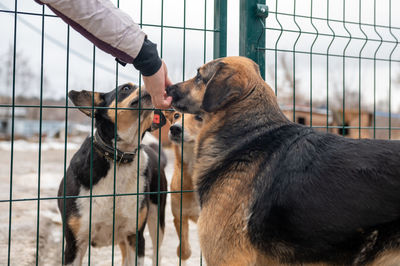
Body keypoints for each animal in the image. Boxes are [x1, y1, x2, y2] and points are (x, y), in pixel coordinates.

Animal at [58, 83, 167, 266]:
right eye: (126, 88)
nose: (151, 85)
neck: (119, 158)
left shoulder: (135, 236)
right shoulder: (74, 243)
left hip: (157, 217)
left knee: (157, 252)